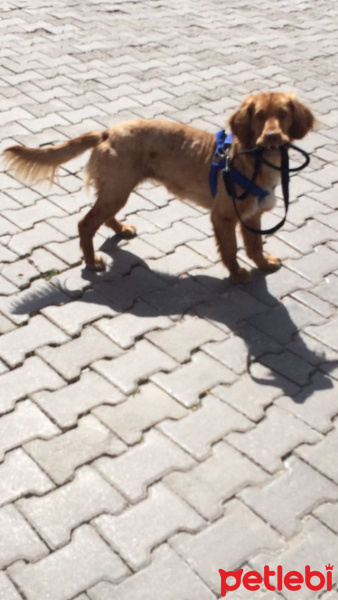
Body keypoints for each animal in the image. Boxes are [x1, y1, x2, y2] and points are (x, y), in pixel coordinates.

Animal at [1, 92, 314, 284]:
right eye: (259, 116)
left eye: (283, 114)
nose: (272, 136)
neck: (254, 159)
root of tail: (107, 132)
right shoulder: (223, 216)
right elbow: (231, 250)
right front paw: (237, 275)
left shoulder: (252, 214)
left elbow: (255, 245)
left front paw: (263, 263)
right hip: (118, 189)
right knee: (85, 223)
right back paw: (92, 261)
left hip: (116, 189)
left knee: (102, 217)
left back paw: (120, 229)